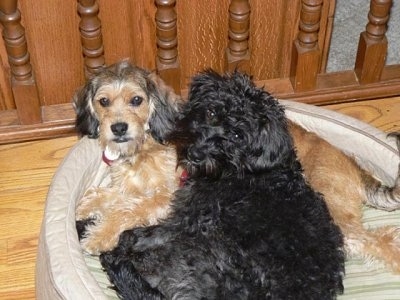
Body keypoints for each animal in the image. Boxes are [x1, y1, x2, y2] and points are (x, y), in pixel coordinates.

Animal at [73, 61, 181, 255]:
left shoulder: (166, 197)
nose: (119, 128)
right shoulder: (128, 187)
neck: (141, 150)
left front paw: (100, 235)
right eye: (104, 101)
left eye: (136, 100)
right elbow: (109, 195)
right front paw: (86, 206)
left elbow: (126, 209)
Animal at [99, 71, 344, 300]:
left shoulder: (187, 220)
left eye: (236, 135)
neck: (242, 170)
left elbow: (143, 234)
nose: (196, 154)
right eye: (211, 112)